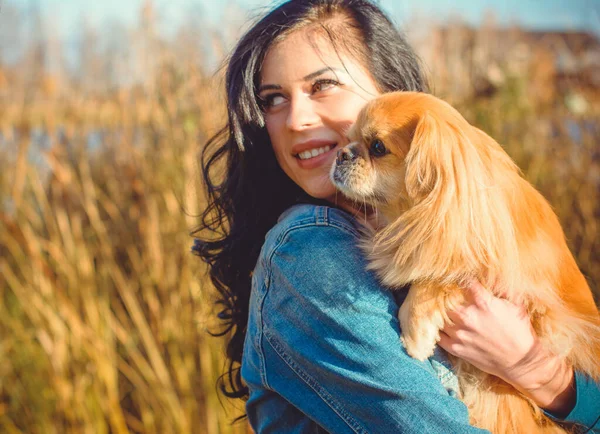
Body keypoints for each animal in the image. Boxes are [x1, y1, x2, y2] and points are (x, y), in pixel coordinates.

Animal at [330, 90, 600, 432]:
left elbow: (436, 280)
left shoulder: (526, 296)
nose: (342, 154)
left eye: (378, 147)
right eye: (346, 139)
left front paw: (415, 335)